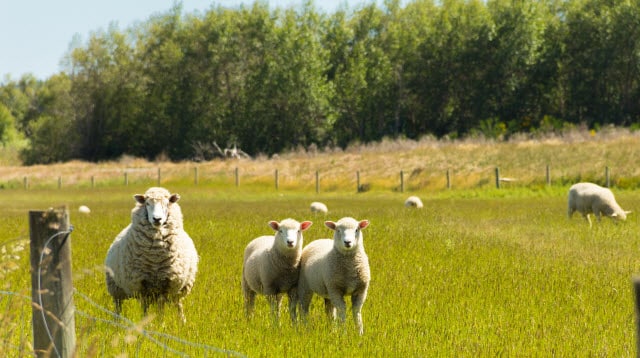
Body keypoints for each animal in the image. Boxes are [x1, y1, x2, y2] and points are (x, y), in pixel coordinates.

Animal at [105, 187, 198, 322]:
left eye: (167, 203)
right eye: (147, 204)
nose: (157, 219)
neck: (155, 257)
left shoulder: (166, 283)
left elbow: (160, 308)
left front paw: (161, 323)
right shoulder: (141, 284)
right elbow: (145, 307)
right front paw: (145, 323)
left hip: (179, 289)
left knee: (178, 304)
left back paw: (182, 321)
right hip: (115, 287)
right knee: (118, 306)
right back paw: (116, 321)